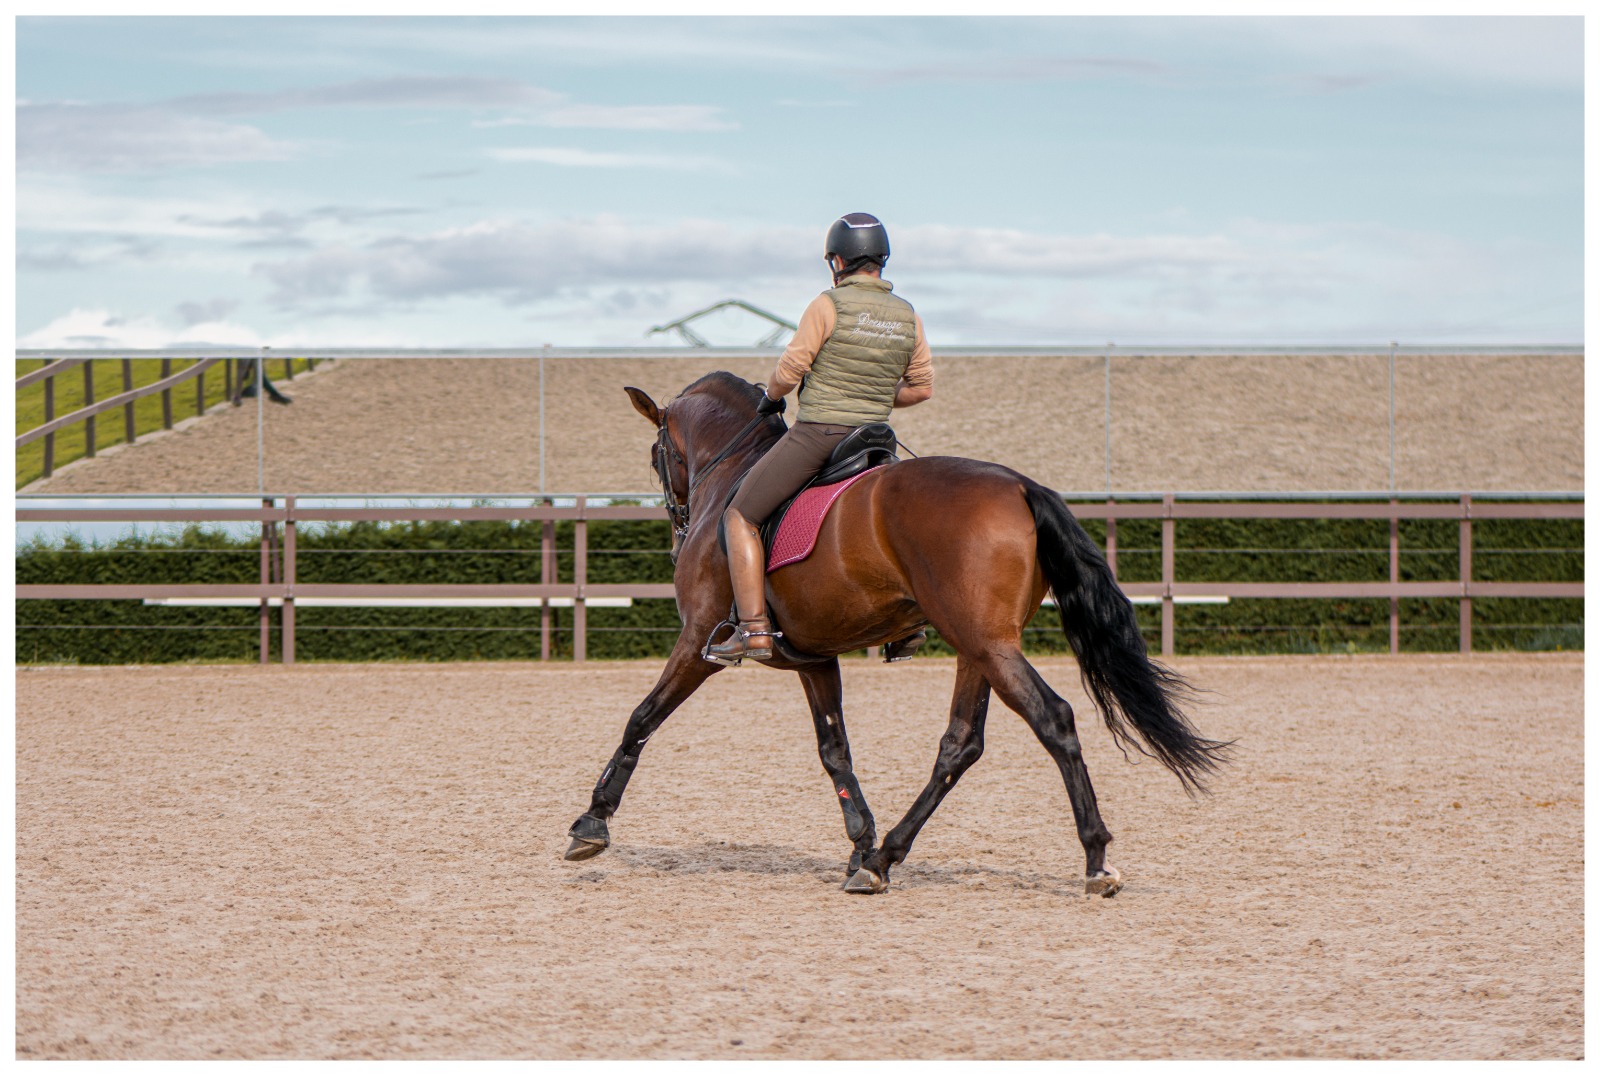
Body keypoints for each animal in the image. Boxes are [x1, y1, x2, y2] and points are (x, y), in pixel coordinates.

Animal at [563, 371, 1230, 896]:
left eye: (656, 455)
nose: (676, 525)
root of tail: (1018, 485)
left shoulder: (699, 640)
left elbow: (642, 717)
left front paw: (591, 823)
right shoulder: (814, 660)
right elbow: (835, 752)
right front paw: (860, 842)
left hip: (989, 647)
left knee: (1053, 719)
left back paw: (1095, 859)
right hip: (977, 648)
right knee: (960, 745)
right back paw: (882, 859)